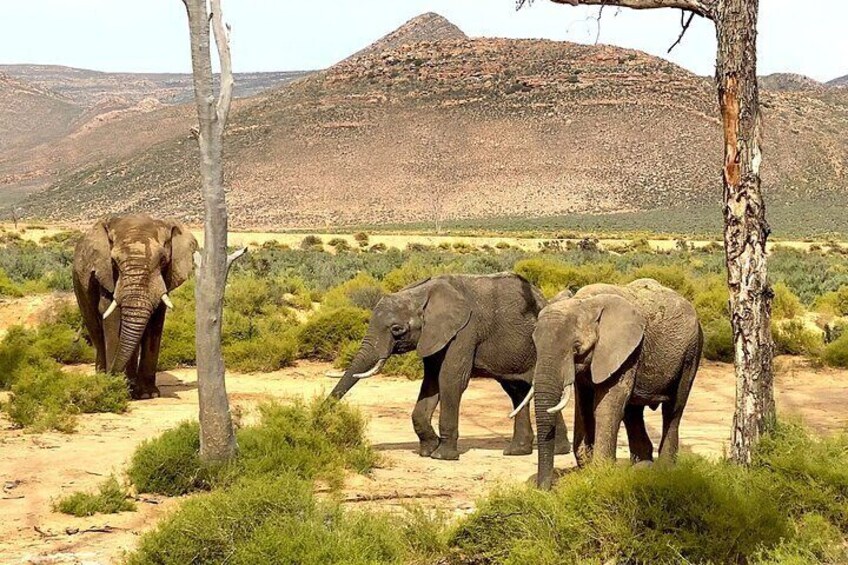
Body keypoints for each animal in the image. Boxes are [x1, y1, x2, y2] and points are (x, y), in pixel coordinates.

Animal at [72, 214, 197, 399]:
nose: (112, 376)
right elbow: (112, 315)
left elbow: (155, 321)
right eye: (114, 262)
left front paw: (147, 394)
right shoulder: (106, 273)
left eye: (162, 260)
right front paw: (118, 388)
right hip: (79, 284)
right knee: (95, 328)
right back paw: (104, 376)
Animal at [327, 273, 571, 461]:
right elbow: (431, 382)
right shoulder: (433, 335)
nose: (322, 418)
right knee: (517, 391)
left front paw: (442, 456)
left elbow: (450, 379)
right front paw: (427, 449)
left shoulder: (464, 331)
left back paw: (556, 451)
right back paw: (518, 452)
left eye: (397, 330)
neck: (421, 294)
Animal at [526, 278, 703, 489]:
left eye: (577, 348)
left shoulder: (626, 351)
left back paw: (663, 469)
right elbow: (584, 406)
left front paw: (600, 473)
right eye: (535, 345)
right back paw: (642, 466)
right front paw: (587, 467)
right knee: (632, 412)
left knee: (673, 409)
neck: (585, 302)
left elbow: (606, 406)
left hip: (691, 353)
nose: (544, 489)